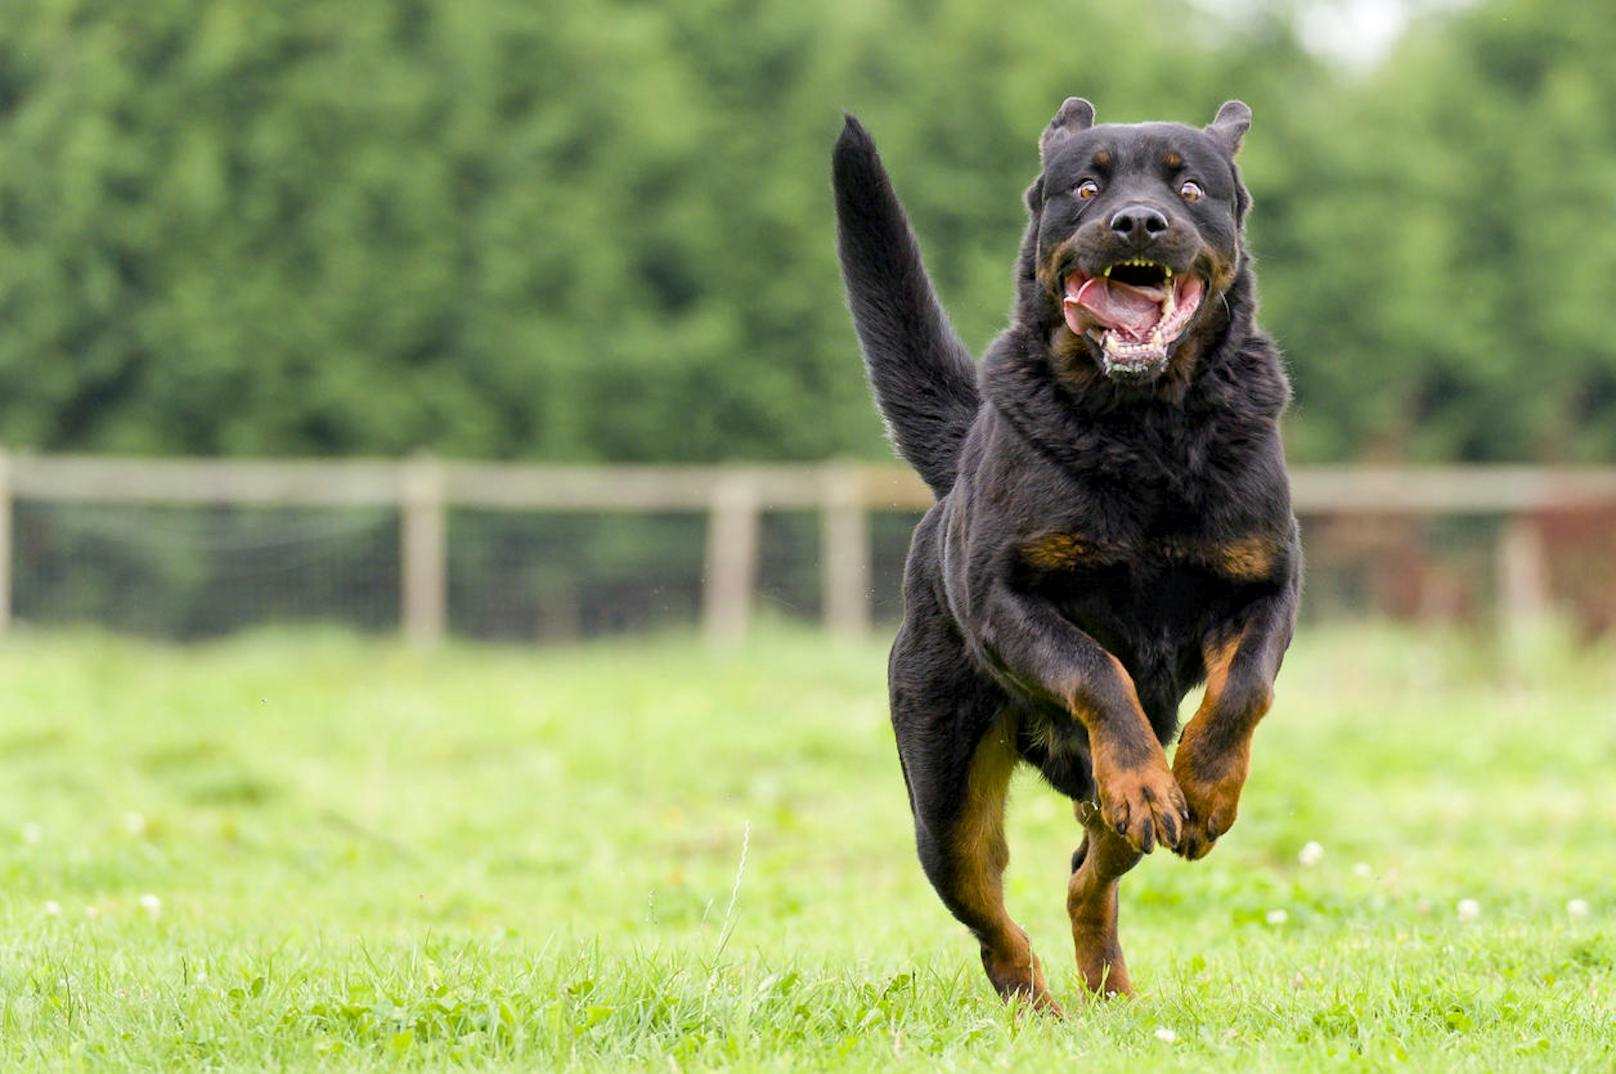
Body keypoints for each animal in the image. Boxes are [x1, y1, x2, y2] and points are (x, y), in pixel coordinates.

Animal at [833, 98, 1299, 1007]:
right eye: (1086, 185)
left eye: (1190, 187)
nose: (1137, 222)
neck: (1146, 426)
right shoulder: (1007, 600)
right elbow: (1096, 670)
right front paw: (1153, 777)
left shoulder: (1266, 586)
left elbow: (1242, 691)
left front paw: (1206, 788)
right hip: (944, 796)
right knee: (993, 915)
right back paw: (1037, 1003)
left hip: (1086, 799)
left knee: (1091, 872)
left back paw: (1109, 980)